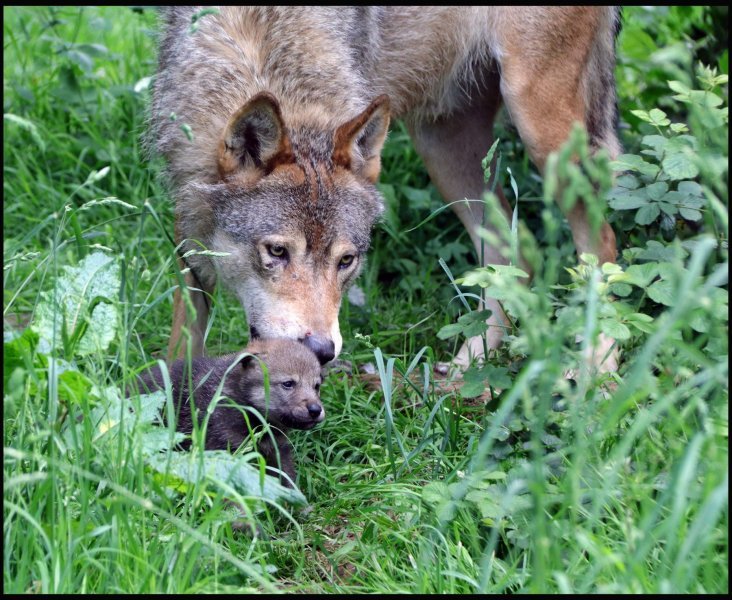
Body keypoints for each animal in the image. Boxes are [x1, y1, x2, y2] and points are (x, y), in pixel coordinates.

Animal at [152, 5, 620, 370]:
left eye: (346, 261)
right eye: (277, 252)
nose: (322, 352)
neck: (265, 46)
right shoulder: (186, 213)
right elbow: (185, 332)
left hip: (541, 131)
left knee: (603, 244)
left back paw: (597, 371)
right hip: (442, 147)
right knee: (514, 255)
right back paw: (468, 372)